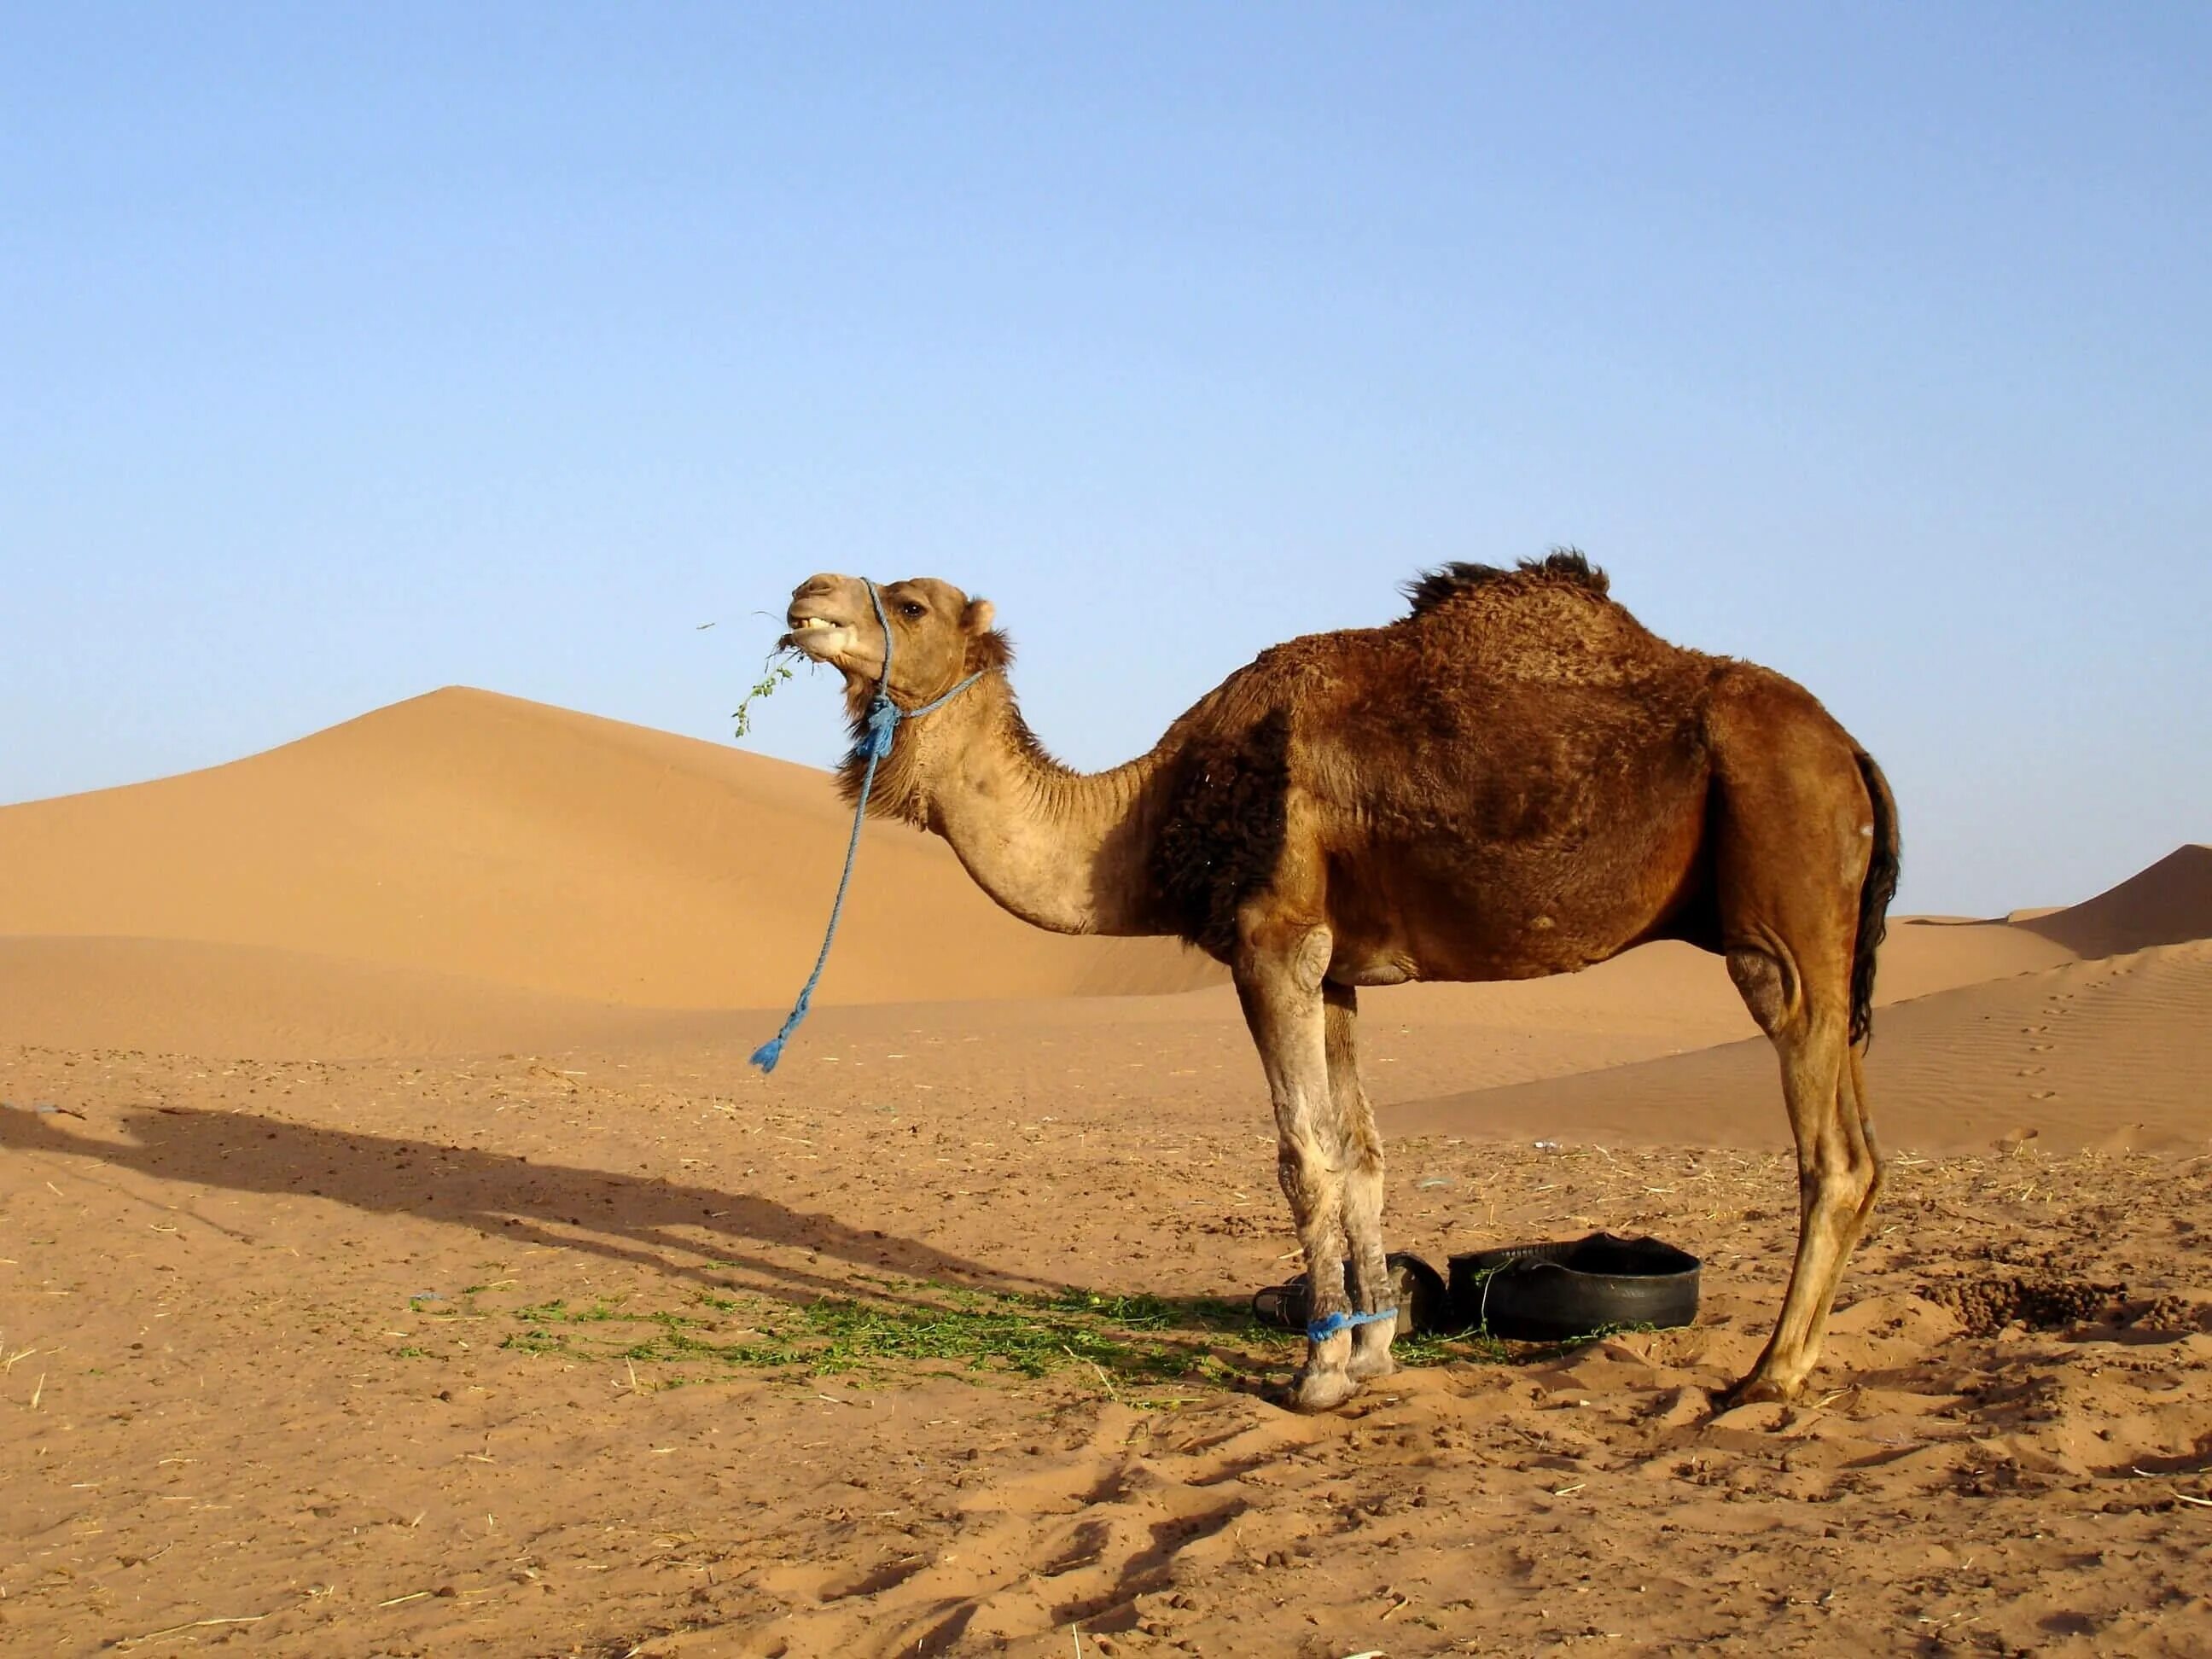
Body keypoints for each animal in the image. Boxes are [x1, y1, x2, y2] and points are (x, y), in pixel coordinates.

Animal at [778, 559, 1902, 1415]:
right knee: (1863, 1136)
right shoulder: (1340, 971)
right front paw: (1374, 1352)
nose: (803, 595)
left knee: (1833, 1150)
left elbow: (1302, 1158)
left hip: (1783, 901)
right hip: (1834, 934)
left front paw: (1315, 1372)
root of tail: (1850, 748)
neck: (1142, 818)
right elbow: (1363, 1156)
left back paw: (1769, 1377)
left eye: (909, 604)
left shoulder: (1272, 940)